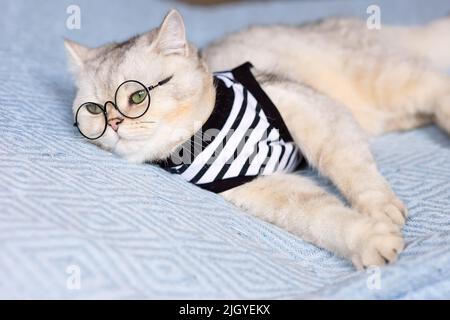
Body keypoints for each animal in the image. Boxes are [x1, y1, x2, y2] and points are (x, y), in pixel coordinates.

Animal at [65, 9, 450, 270]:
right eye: (94, 110)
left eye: (137, 97)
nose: (114, 122)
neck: (204, 135)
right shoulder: (263, 188)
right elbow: (323, 219)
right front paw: (368, 238)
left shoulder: (315, 112)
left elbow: (352, 170)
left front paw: (378, 207)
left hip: (383, 78)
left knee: (435, 84)